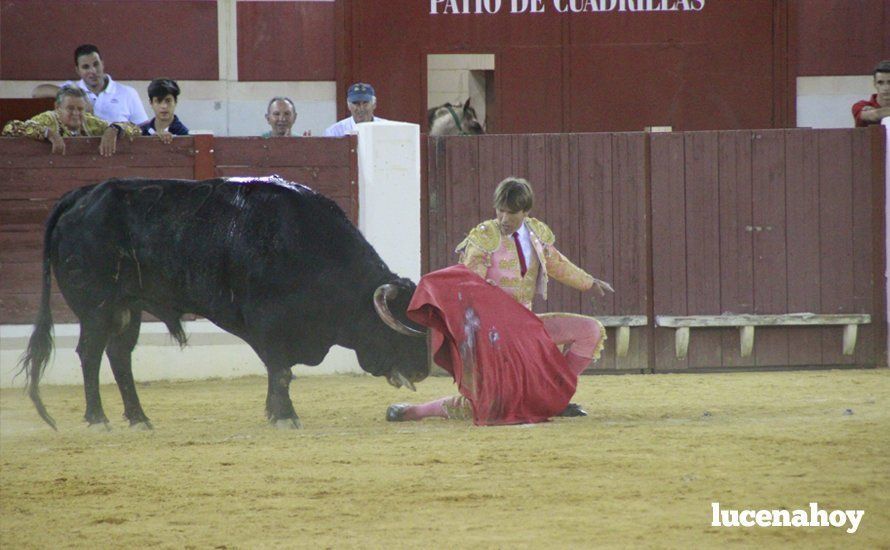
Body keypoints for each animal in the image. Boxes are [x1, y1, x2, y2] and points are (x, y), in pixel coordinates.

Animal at [16, 177, 426, 432]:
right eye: (402, 330)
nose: (423, 370)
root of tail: (82, 195)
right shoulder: (267, 324)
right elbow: (281, 371)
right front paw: (284, 416)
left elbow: (278, 373)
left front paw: (274, 411)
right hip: (97, 307)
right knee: (89, 353)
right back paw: (98, 419)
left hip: (127, 307)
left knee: (119, 356)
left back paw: (138, 418)